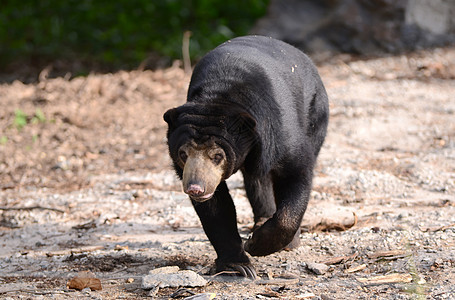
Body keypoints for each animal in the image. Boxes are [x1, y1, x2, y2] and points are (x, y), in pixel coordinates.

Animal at [164, 35, 328, 278]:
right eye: (183, 153)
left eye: (217, 155)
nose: (195, 188)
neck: (220, 97)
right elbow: (216, 208)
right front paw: (238, 266)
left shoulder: (279, 132)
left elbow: (296, 174)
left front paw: (256, 244)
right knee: (257, 180)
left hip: (316, 113)